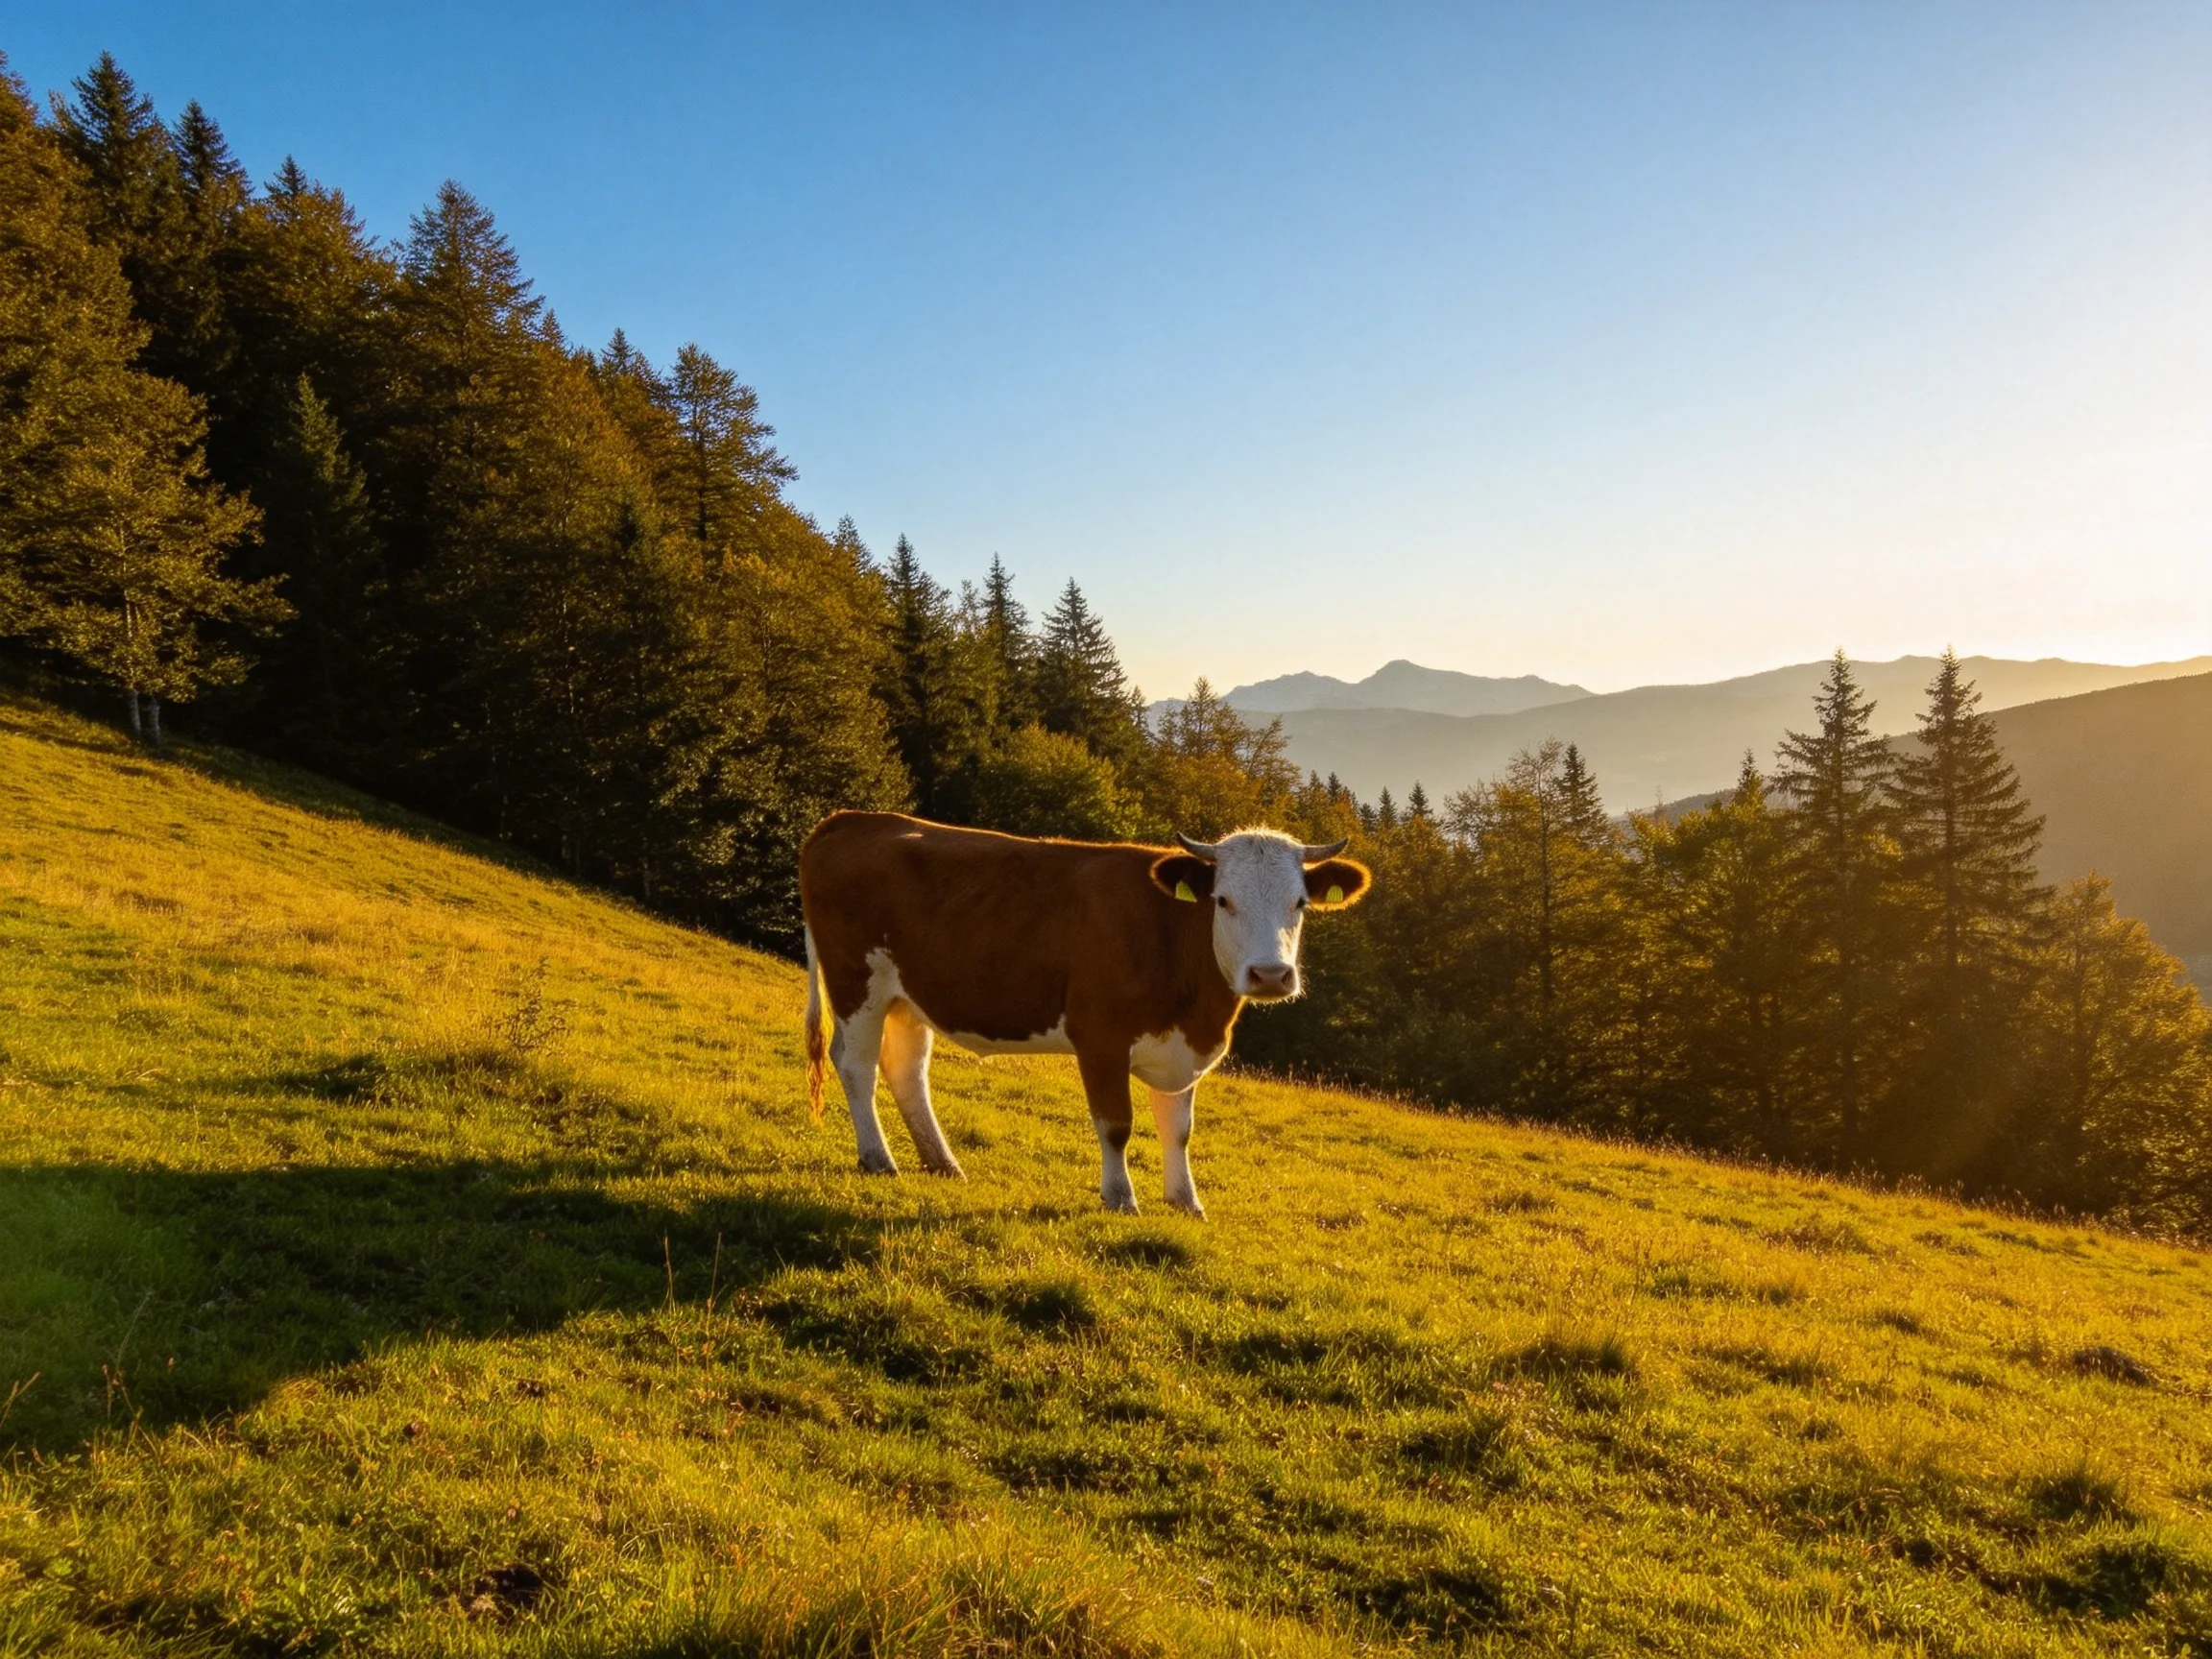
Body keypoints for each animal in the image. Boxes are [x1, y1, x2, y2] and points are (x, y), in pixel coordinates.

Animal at [799, 811, 1371, 1217]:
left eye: (1300, 903)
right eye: (1223, 900)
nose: (1271, 975)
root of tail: (852, 819)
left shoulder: (1182, 1046)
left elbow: (1178, 1129)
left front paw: (1186, 1202)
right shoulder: (1100, 1036)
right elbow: (1117, 1124)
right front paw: (1120, 1198)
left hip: (908, 995)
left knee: (906, 1069)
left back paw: (943, 1163)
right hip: (855, 981)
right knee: (856, 1064)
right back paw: (879, 1159)